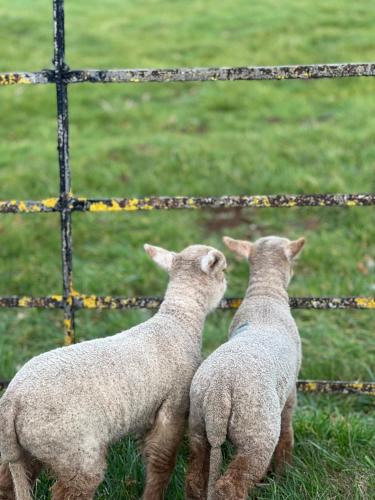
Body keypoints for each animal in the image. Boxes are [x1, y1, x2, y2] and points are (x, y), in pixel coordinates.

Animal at [0, 243, 228, 500]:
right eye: (222, 270)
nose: (227, 283)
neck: (179, 321)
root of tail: (11, 401)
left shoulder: (147, 414)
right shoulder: (174, 405)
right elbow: (162, 462)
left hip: (28, 448)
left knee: (7, 482)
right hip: (74, 451)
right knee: (67, 490)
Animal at [185, 235, 306, 500]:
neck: (265, 296)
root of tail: (219, 392)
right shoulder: (290, 393)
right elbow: (286, 435)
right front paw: (283, 474)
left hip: (198, 424)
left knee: (195, 479)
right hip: (257, 432)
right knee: (232, 484)